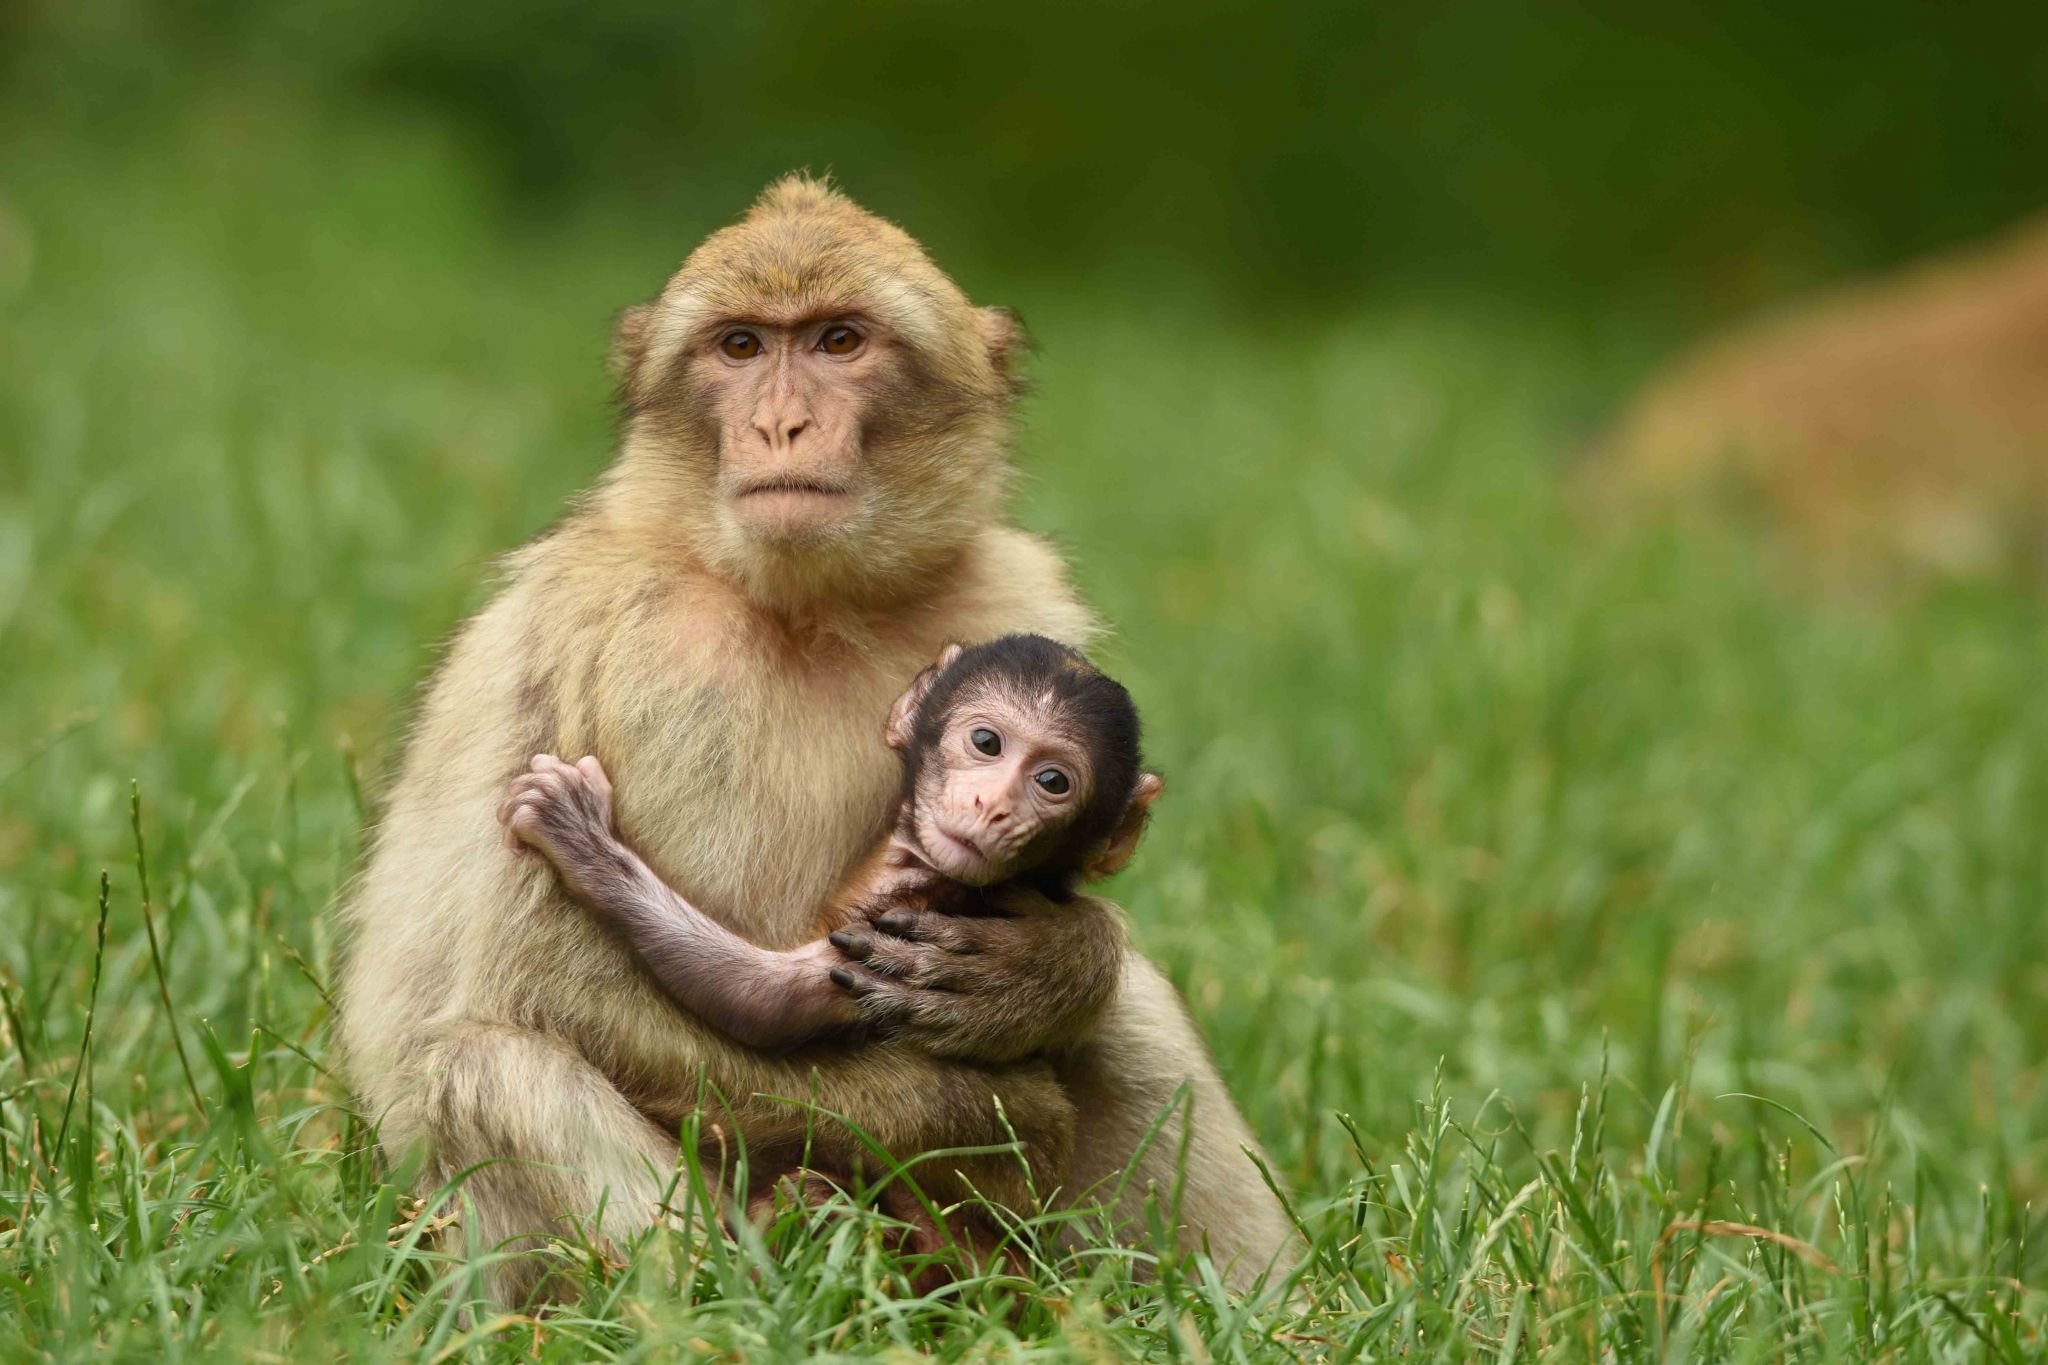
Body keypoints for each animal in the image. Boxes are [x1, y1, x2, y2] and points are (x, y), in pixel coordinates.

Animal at [496, 634, 1160, 1063]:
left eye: (1052, 781)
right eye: (986, 742)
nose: (992, 803)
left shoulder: (919, 910)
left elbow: (767, 1002)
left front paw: (583, 840)